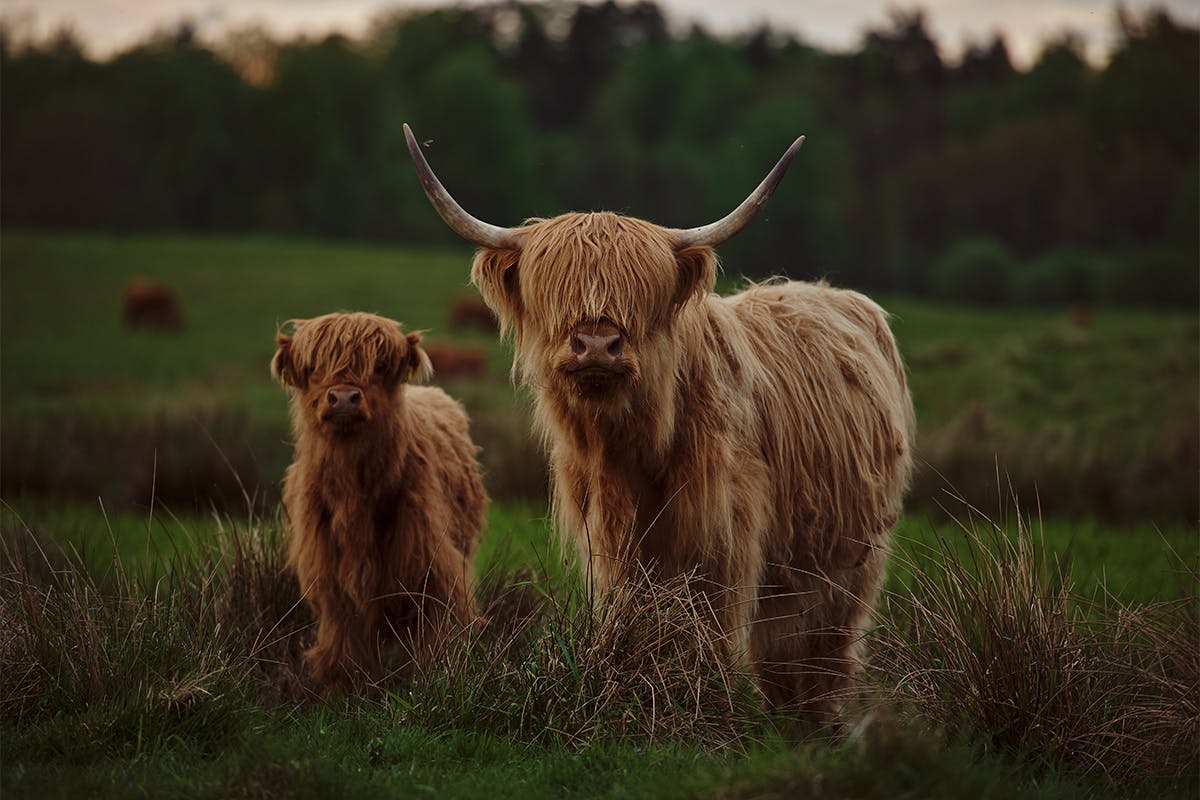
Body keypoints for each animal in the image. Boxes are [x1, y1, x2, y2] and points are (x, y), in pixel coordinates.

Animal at [271, 311, 488, 688]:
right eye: (313, 366)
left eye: (380, 366)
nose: (344, 397)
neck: (354, 494)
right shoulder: (331, 576)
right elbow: (343, 640)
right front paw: (342, 687)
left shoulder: (432, 568)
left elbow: (436, 633)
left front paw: (435, 679)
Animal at [403, 124, 915, 722]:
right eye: (556, 292)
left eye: (639, 293)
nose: (596, 344)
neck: (634, 451)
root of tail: (835, 295)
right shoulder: (609, 541)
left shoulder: (722, 543)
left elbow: (707, 633)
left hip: (848, 557)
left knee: (819, 651)